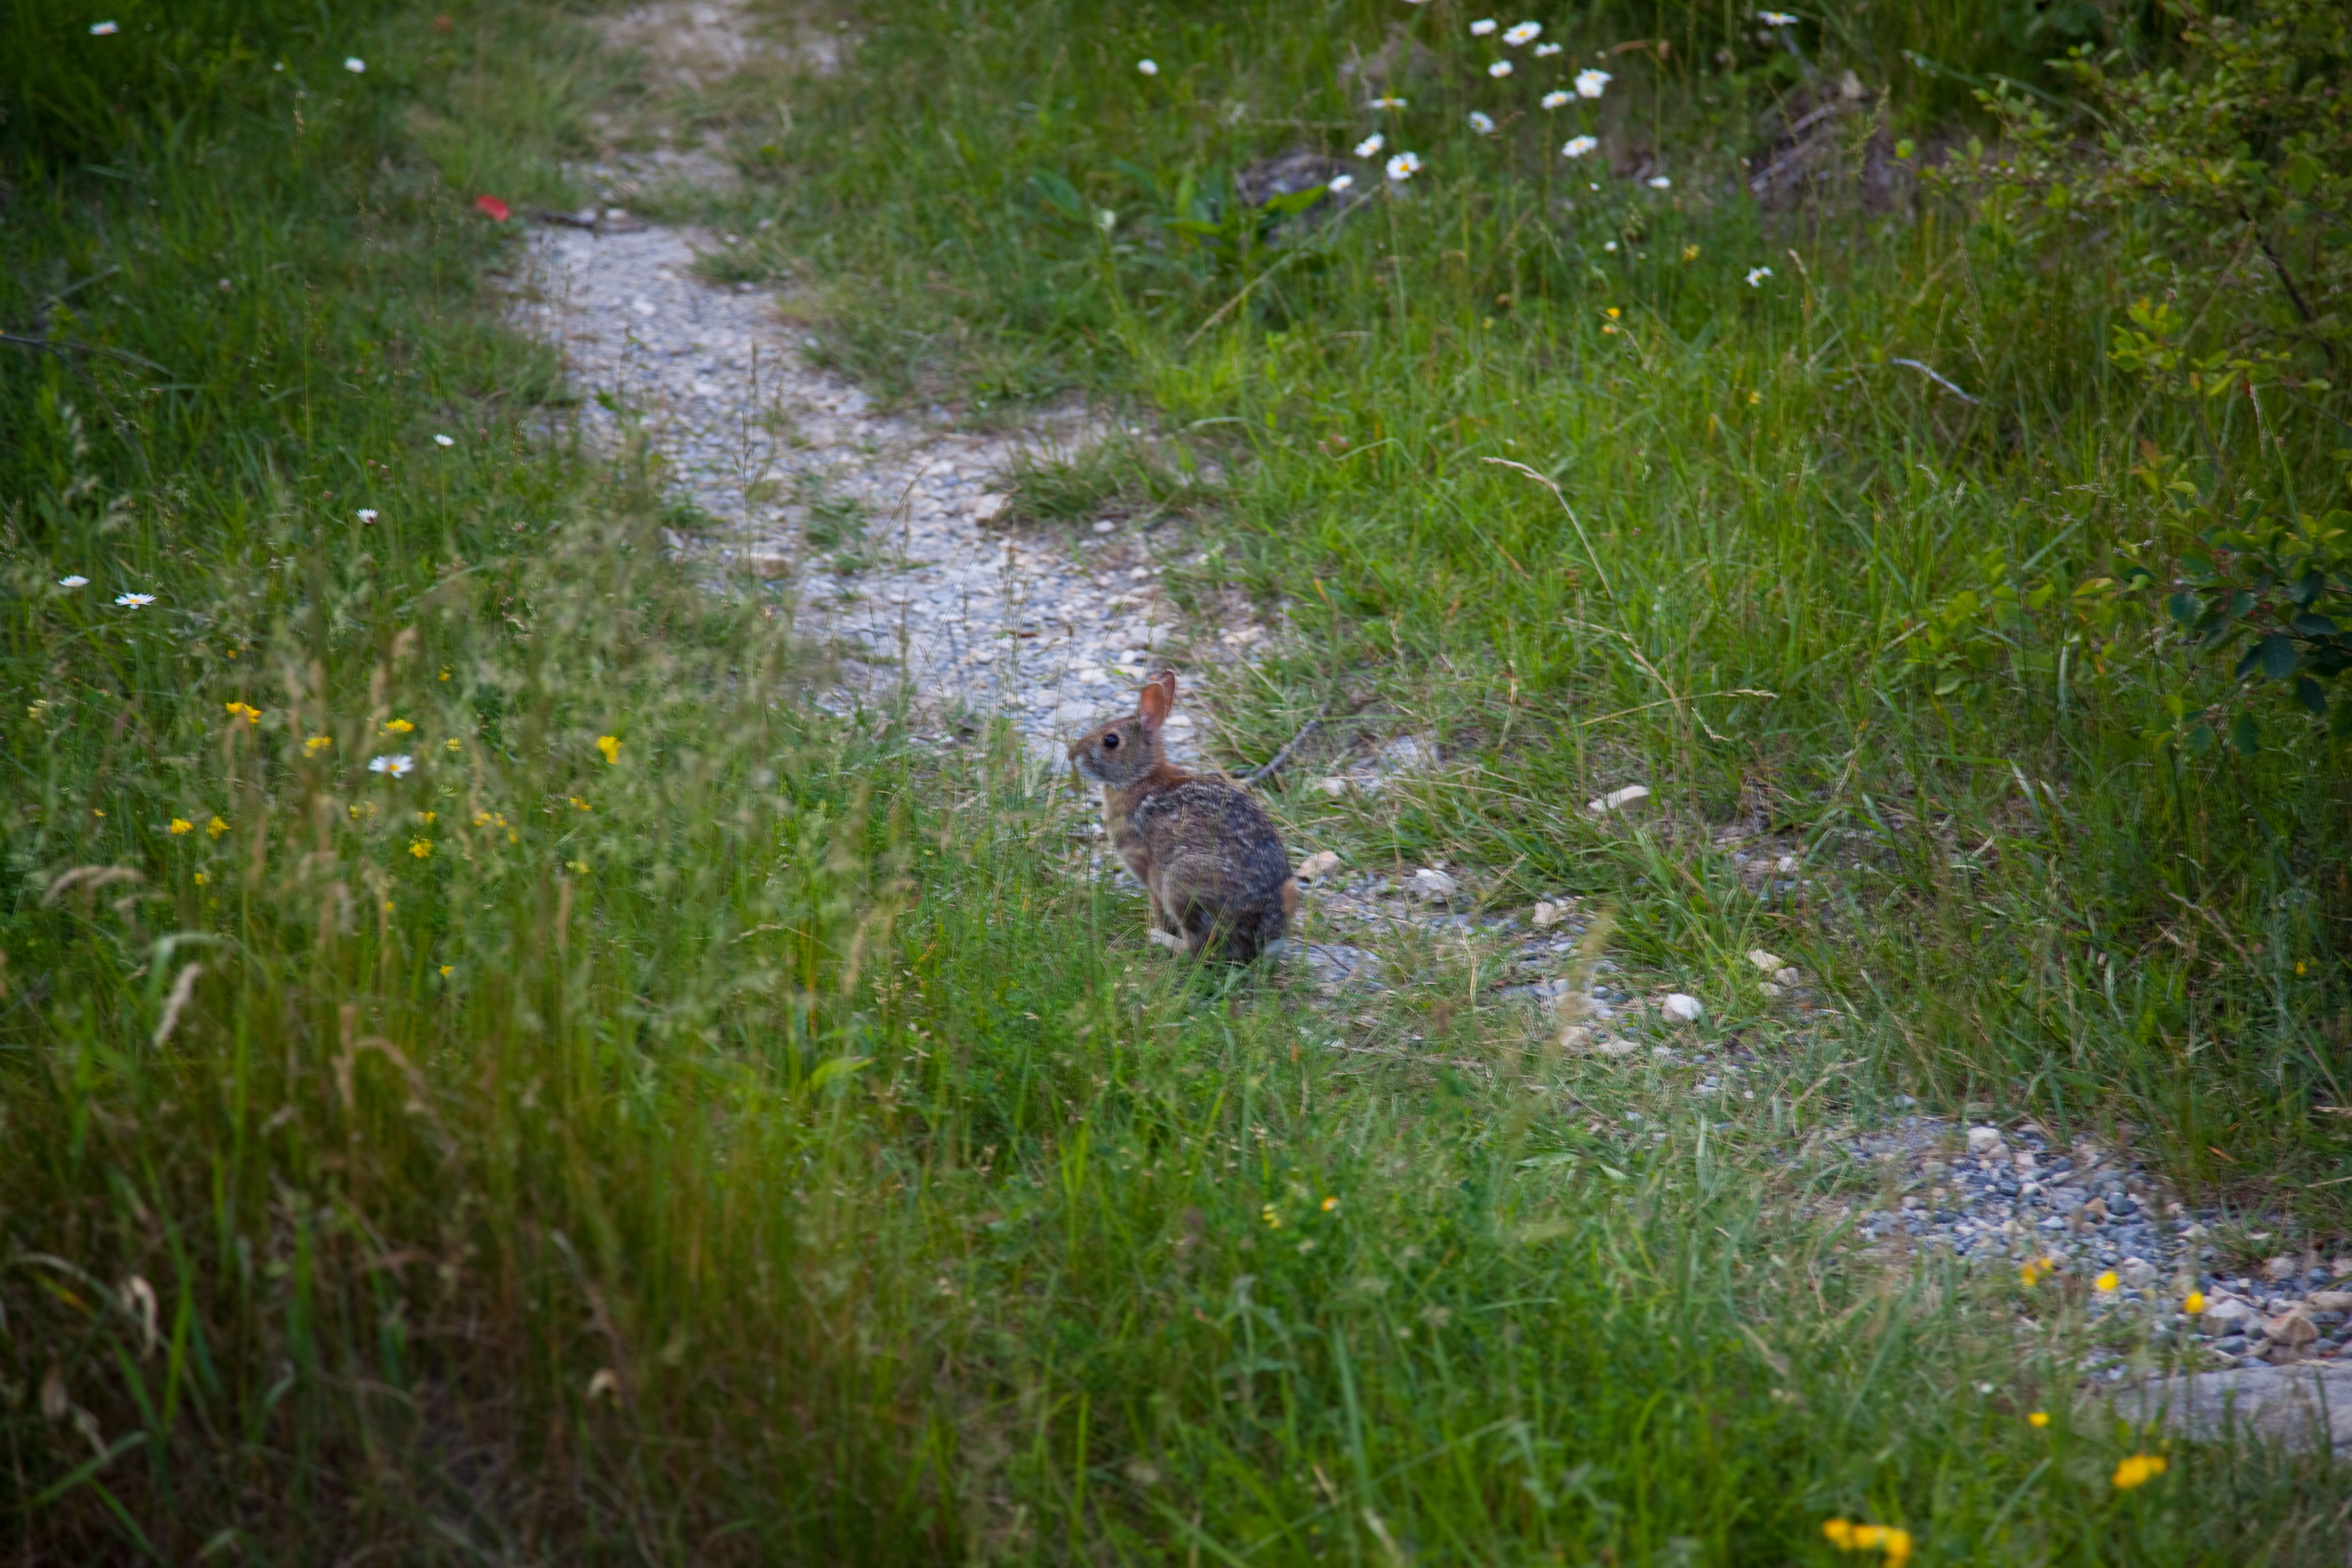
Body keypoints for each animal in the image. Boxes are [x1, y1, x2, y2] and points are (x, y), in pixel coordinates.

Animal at [1072, 668, 1298, 964]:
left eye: (1111, 741)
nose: (1072, 755)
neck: (1140, 777)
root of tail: (1265, 938)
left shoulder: (1150, 873)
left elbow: (1158, 908)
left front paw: (1157, 929)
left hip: (1183, 882)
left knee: (1198, 949)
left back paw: (1160, 940)